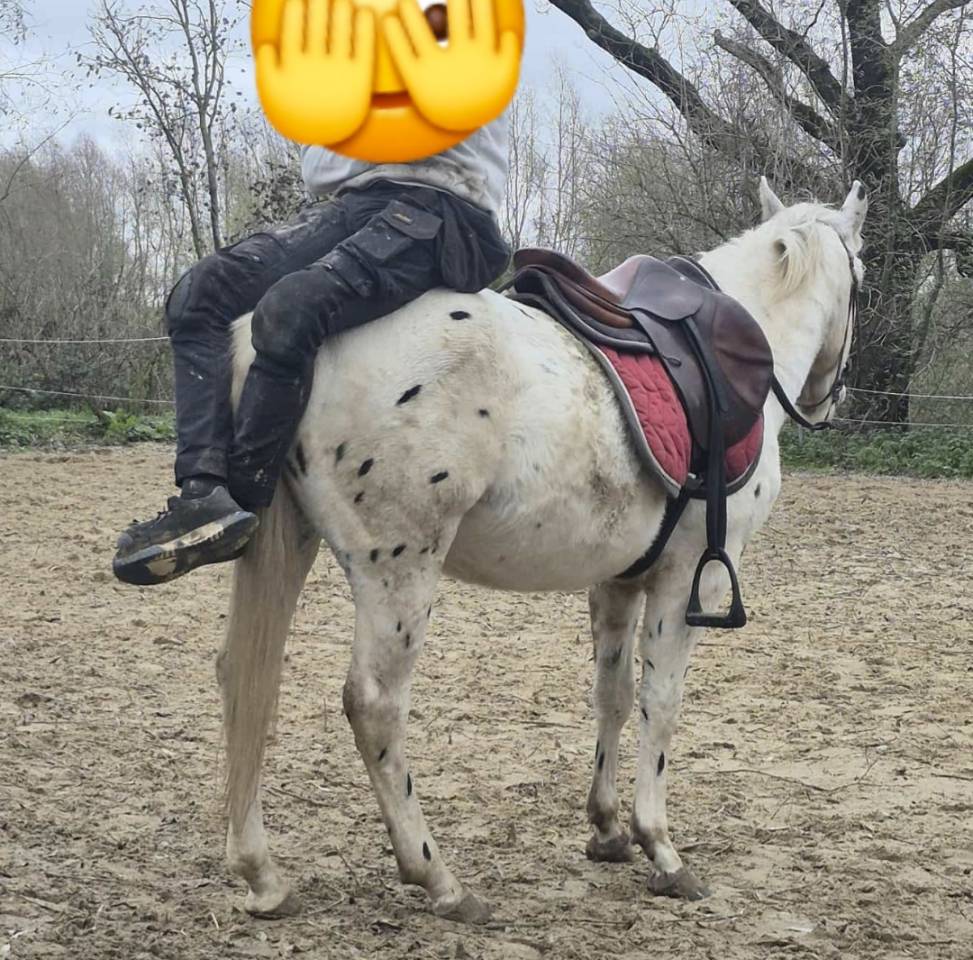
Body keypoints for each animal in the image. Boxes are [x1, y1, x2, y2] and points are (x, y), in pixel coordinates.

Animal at [217, 177, 867, 922]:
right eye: (863, 280)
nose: (829, 402)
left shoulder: (618, 580)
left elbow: (613, 696)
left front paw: (608, 829)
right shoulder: (686, 582)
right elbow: (661, 704)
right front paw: (660, 848)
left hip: (293, 540)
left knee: (245, 675)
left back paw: (261, 873)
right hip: (401, 568)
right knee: (374, 703)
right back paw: (437, 878)